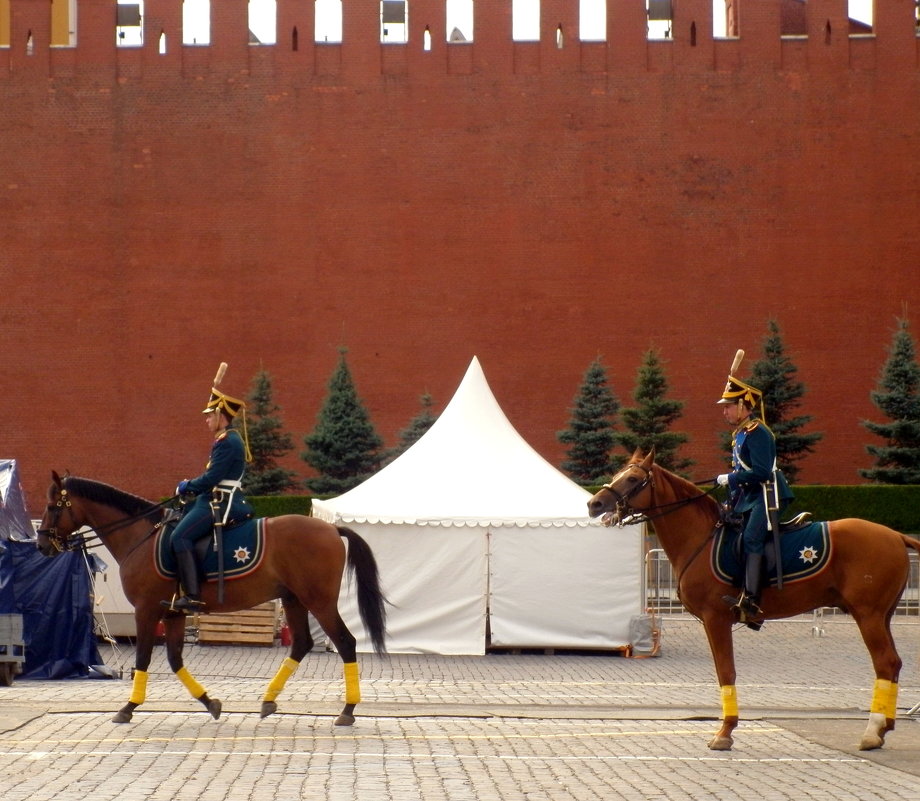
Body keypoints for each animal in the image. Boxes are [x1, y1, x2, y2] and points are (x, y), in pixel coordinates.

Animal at [36, 468, 386, 724]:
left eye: (53, 507)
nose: (41, 545)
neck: (142, 537)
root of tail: (330, 529)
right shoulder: (173, 613)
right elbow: (175, 660)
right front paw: (210, 702)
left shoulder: (146, 610)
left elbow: (143, 658)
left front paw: (128, 707)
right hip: (294, 600)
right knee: (301, 643)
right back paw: (269, 700)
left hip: (319, 602)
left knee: (345, 643)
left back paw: (347, 711)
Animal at [588, 450, 920, 752]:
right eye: (617, 473)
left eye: (632, 479)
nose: (594, 504)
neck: (701, 538)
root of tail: (896, 535)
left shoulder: (716, 618)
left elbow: (726, 671)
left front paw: (725, 731)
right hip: (883, 617)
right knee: (893, 664)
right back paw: (884, 726)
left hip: (868, 615)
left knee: (885, 662)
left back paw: (872, 731)